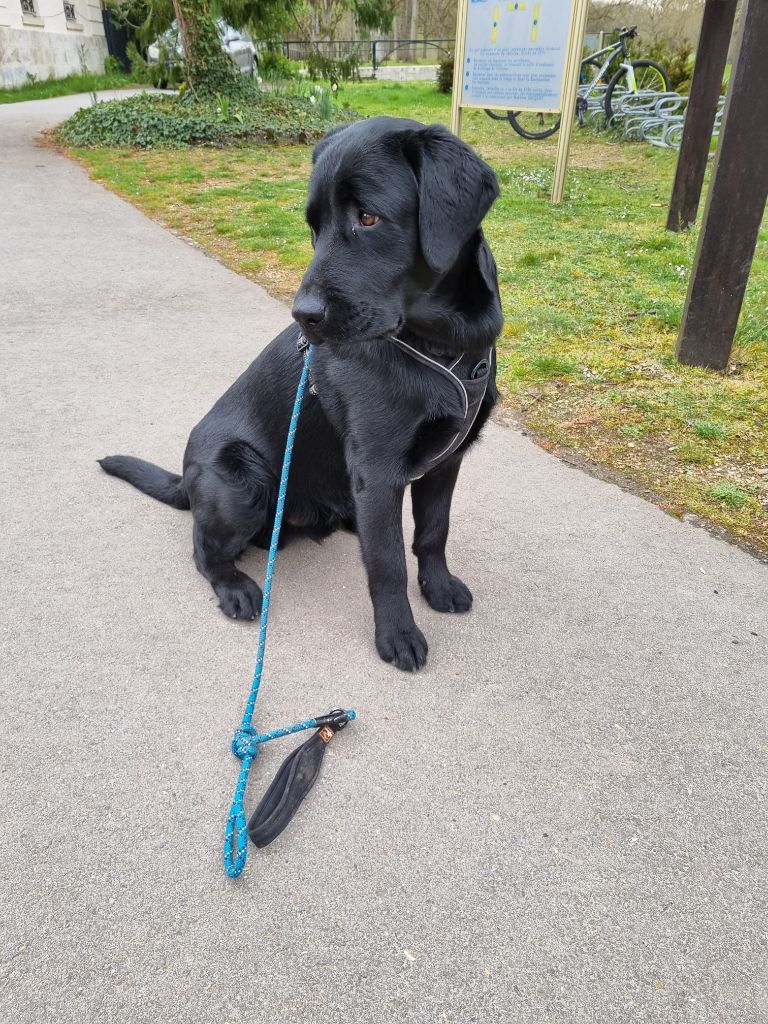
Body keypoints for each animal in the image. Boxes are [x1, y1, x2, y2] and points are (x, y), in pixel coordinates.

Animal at [100, 116, 505, 671]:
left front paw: (438, 587)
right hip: (242, 481)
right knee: (204, 550)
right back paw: (235, 587)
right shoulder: (378, 471)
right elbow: (387, 565)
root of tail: (186, 478)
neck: (441, 349)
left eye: (369, 217)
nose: (304, 316)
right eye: (314, 226)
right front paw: (397, 634)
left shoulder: (447, 461)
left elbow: (432, 533)